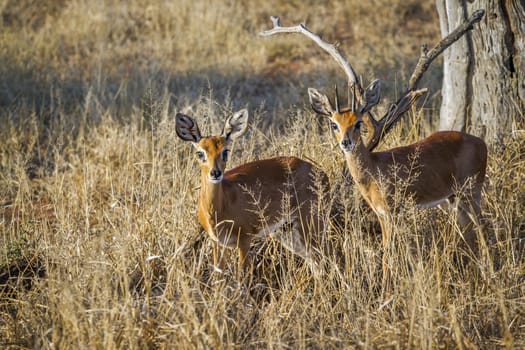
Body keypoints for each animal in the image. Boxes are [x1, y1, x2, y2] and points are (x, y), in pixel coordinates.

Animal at [176, 108, 328, 274]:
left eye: (225, 151)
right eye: (200, 152)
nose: (215, 173)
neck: (219, 209)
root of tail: (322, 173)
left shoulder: (244, 240)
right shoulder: (217, 242)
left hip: (311, 223)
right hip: (288, 232)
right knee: (316, 263)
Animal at [262, 10, 488, 292]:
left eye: (358, 122)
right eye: (334, 123)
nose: (346, 142)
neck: (373, 169)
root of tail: (481, 142)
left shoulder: (391, 214)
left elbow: (388, 254)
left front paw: (385, 291)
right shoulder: (381, 215)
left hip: (472, 193)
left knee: (485, 230)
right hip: (454, 200)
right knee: (470, 235)